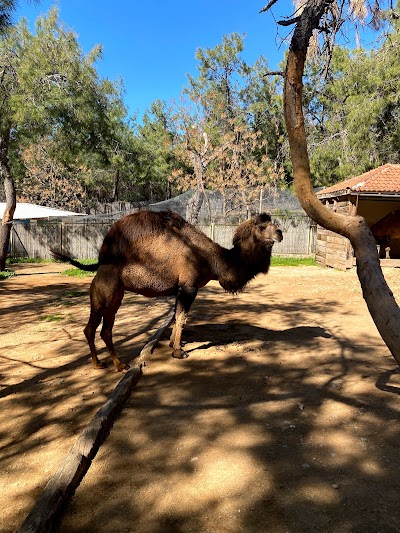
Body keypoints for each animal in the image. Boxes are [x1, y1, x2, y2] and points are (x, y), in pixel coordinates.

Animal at [51, 208, 282, 370]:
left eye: (273, 224)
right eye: (262, 227)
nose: (280, 233)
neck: (210, 259)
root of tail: (100, 262)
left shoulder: (180, 288)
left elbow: (175, 315)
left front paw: (173, 344)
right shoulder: (189, 286)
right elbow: (182, 317)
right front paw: (179, 352)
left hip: (116, 295)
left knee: (105, 329)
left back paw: (118, 364)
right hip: (104, 292)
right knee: (91, 328)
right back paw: (100, 364)